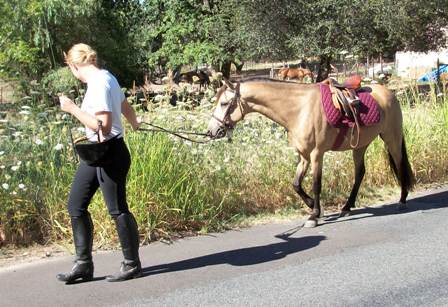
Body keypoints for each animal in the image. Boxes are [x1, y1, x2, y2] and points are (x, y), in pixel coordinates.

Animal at [208, 79, 414, 229]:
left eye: (224, 103)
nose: (212, 131)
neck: (299, 109)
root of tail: (390, 94)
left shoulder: (316, 155)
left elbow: (316, 184)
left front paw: (314, 215)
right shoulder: (304, 156)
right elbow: (296, 185)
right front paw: (314, 207)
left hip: (392, 138)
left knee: (400, 164)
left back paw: (402, 200)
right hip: (360, 146)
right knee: (360, 173)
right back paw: (347, 206)